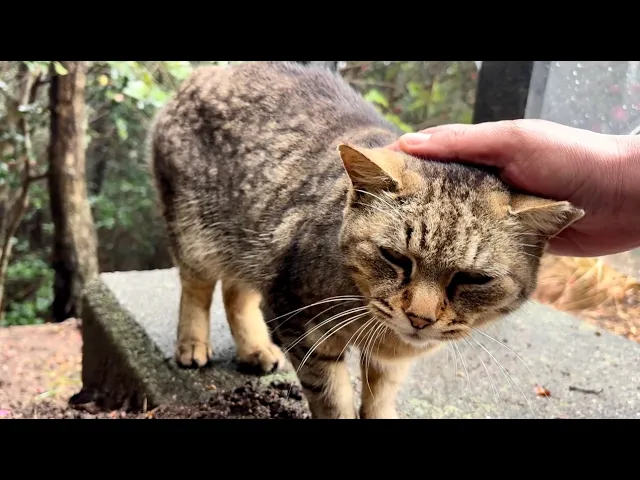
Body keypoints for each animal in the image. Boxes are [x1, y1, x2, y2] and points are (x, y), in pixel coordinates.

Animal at [149, 61, 584, 419]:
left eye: (473, 279)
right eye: (395, 257)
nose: (420, 318)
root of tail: (207, 72)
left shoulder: (390, 362)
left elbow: (379, 398)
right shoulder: (301, 325)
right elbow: (332, 398)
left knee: (235, 291)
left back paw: (255, 348)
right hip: (196, 234)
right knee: (198, 287)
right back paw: (192, 344)